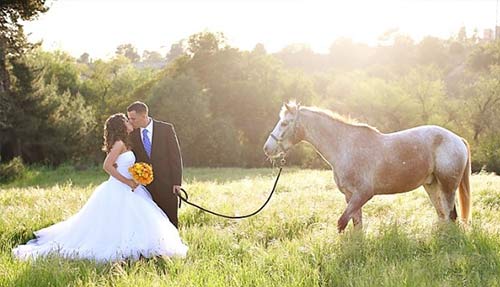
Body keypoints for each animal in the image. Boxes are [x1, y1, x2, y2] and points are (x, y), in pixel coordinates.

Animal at [264, 102, 470, 233]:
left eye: (284, 123)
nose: (267, 148)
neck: (345, 147)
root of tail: (457, 139)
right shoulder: (350, 197)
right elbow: (356, 226)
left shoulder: (363, 194)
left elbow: (342, 223)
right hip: (431, 186)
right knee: (443, 216)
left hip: (447, 186)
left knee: (450, 215)